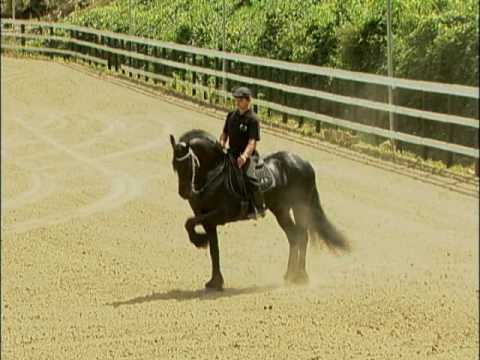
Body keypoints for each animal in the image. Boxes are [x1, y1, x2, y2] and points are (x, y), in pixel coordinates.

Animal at [170, 129, 348, 290]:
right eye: (175, 165)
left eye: (189, 164)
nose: (184, 192)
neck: (215, 175)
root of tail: (304, 163)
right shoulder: (207, 218)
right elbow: (213, 248)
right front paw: (215, 281)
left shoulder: (222, 214)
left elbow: (189, 223)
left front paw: (199, 240)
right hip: (281, 210)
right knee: (294, 236)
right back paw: (290, 275)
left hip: (300, 207)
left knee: (302, 236)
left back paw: (300, 277)